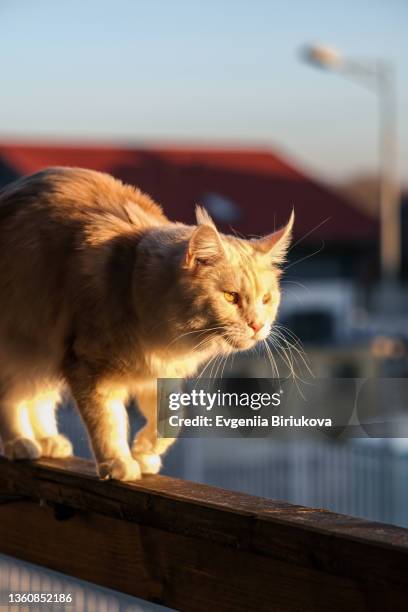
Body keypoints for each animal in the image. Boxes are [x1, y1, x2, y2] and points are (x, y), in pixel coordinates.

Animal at [0, 170, 294, 480]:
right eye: (231, 297)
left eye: (266, 299)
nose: (257, 325)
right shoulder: (88, 367)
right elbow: (107, 423)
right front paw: (118, 462)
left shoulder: (161, 375)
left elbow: (172, 420)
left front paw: (145, 452)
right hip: (22, 345)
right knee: (11, 397)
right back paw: (20, 441)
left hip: (43, 353)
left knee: (36, 397)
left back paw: (47, 440)